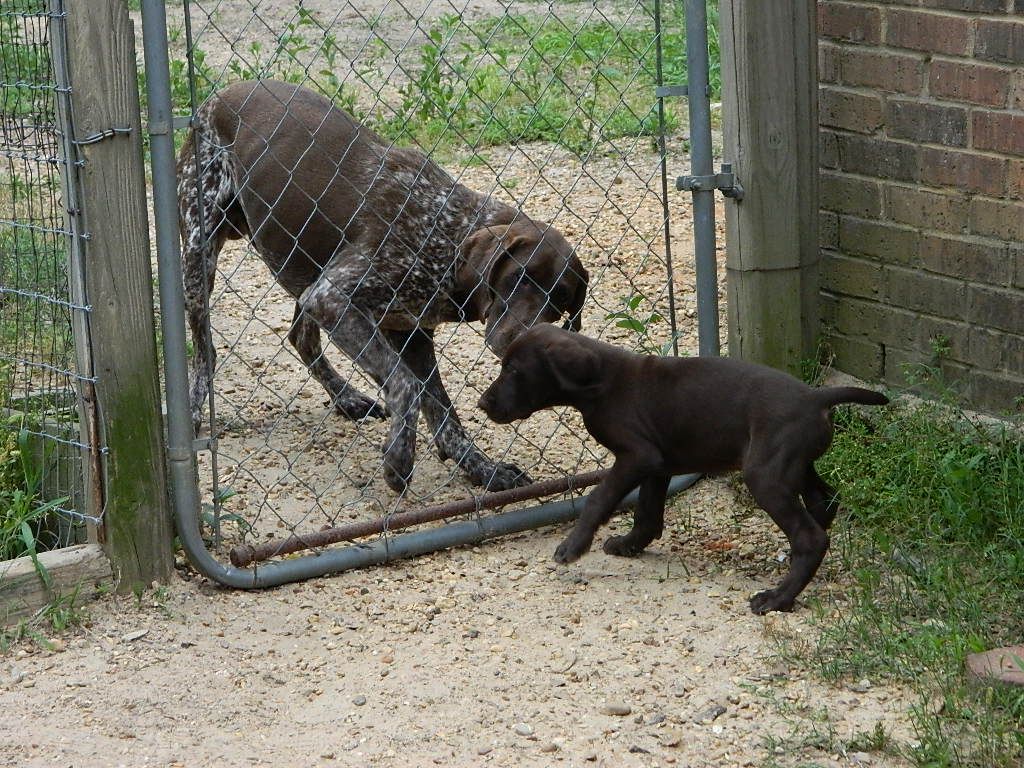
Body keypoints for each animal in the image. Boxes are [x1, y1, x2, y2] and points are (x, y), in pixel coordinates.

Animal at [176, 80, 588, 492]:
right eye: (519, 277)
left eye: (561, 300)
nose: (522, 337)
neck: (450, 233)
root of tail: (219, 95)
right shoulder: (334, 298)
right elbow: (407, 386)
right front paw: (399, 460)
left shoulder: (411, 334)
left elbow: (443, 412)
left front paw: (481, 467)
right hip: (200, 254)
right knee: (206, 350)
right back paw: (193, 413)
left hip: (302, 267)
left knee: (302, 338)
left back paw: (346, 398)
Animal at [477, 325, 889, 614]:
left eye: (514, 370)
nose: (483, 403)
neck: (603, 382)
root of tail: (817, 397)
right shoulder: (659, 462)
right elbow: (647, 514)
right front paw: (629, 545)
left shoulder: (638, 455)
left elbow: (598, 498)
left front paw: (573, 546)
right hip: (792, 464)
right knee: (825, 500)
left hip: (765, 473)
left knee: (810, 536)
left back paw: (777, 598)